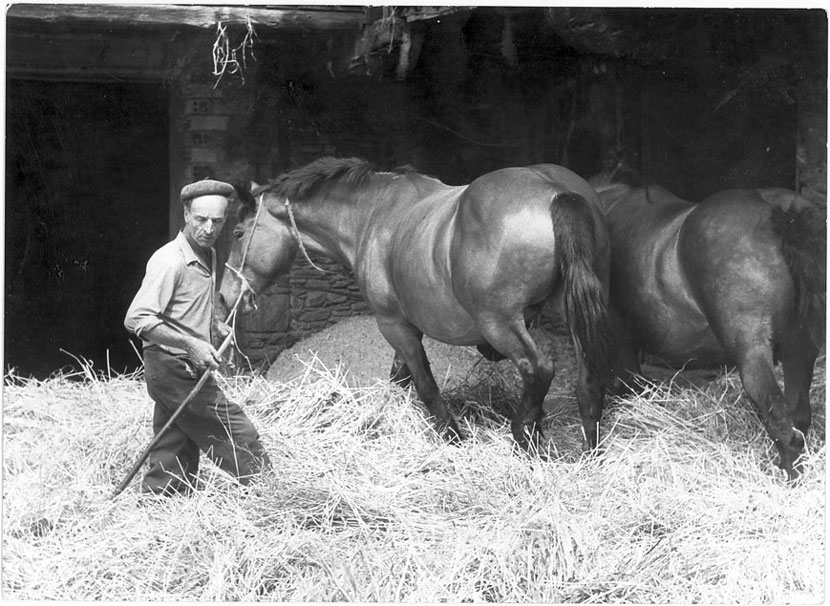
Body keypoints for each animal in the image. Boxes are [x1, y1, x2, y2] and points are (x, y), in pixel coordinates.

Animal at [223, 159, 616, 454]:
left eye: (239, 233)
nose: (227, 295)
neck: (374, 214)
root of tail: (554, 191)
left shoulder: (394, 325)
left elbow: (424, 384)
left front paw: (452, 436)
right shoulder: (405, 328)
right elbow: (400, 378)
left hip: (500, 324)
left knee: (539, 369)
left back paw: (523, 436)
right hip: (572, 315)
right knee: (589, 378)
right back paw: (589, 449)